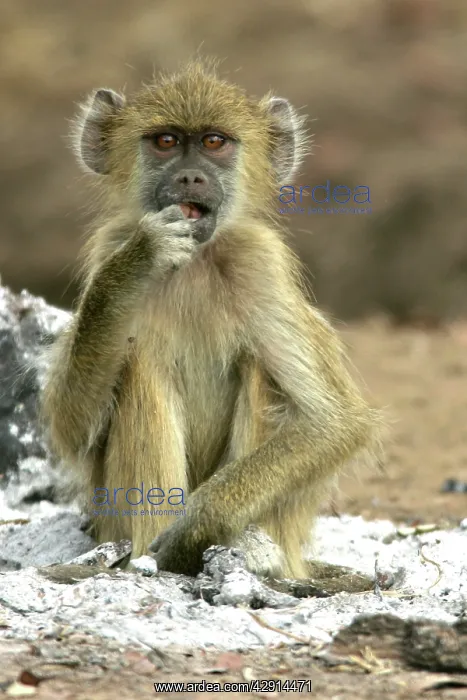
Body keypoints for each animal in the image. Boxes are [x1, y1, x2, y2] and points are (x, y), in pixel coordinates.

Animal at [40, 60, 380, 582]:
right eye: (165, 141)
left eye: (215, 142)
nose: (190, 178)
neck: (195, 261)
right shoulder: (108, 247)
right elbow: (72, 429)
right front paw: (140, 260)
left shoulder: (260, 263)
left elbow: (334, 422)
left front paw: (197, 526)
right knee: (140, 363)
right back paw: (144, 560)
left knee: (258, 368)